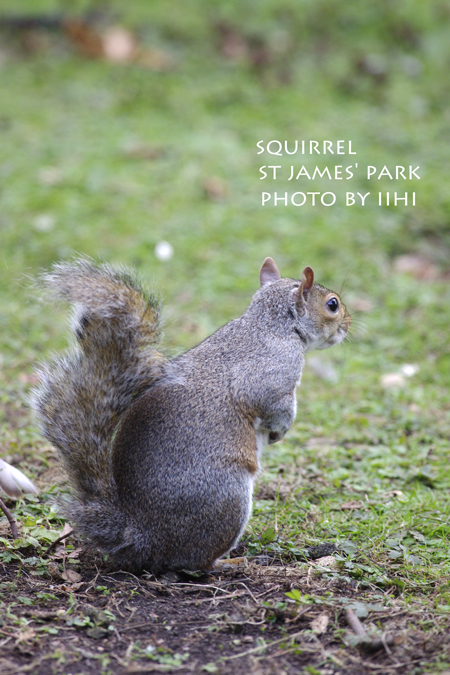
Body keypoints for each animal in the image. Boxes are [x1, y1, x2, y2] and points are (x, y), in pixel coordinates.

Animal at [32, 256, 351, 574]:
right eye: (332, 304)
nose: (348, 324)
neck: (272, 325)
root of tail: (142, 539)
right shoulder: (272, 374)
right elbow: (272, 405)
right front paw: (280, 431)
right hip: (227, 498)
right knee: (195, 562)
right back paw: (231, 561)